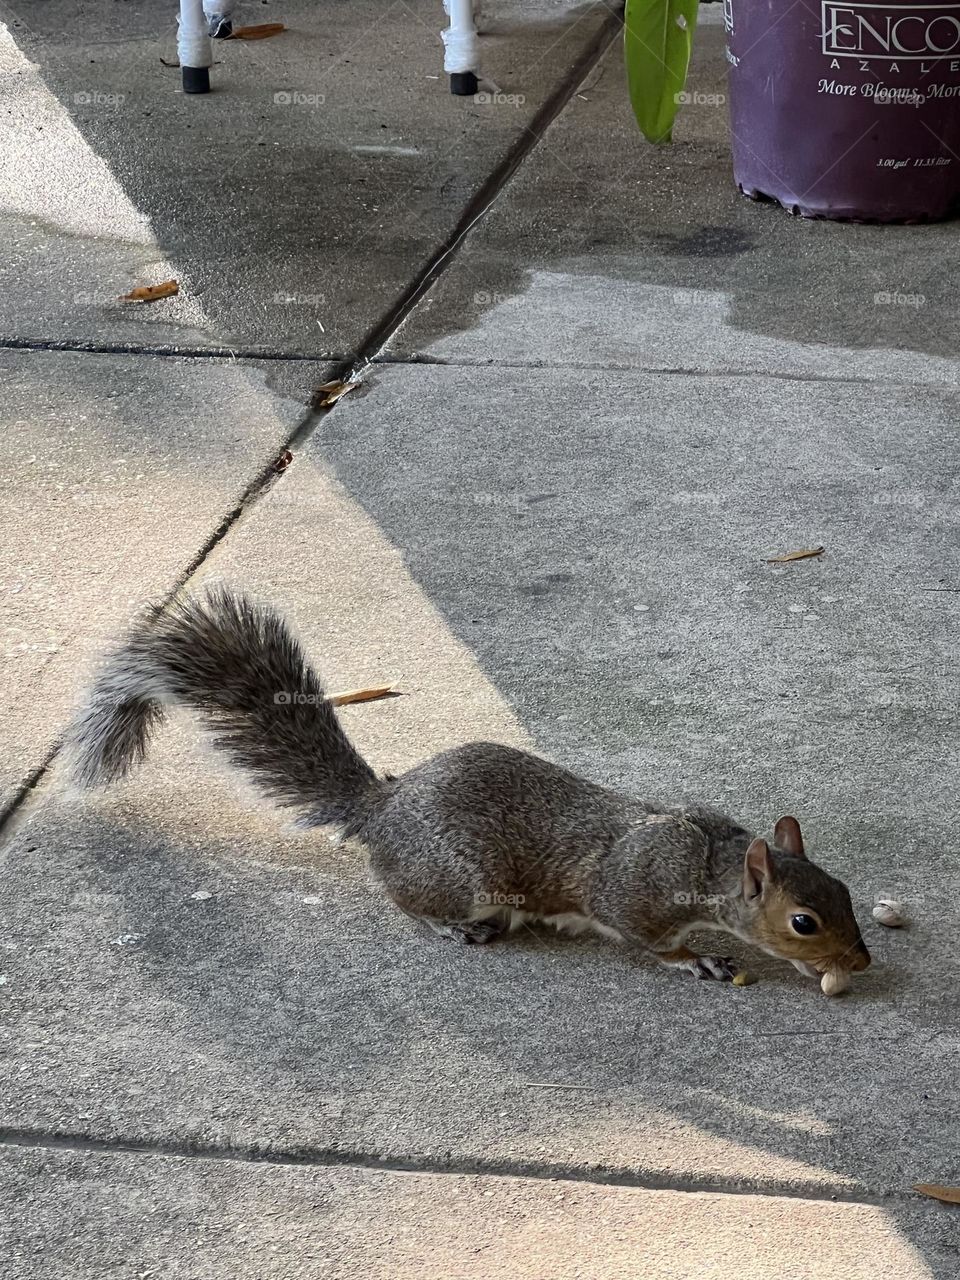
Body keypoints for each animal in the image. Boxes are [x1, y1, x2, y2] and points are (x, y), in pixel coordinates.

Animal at [66, 587, 871, 994]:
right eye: (804, 921)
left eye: (844, 891)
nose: (860, 963)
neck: (709, 860)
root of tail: (385, 809)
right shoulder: (632, 896)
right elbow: (642, 937)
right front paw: (695, 959)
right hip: (456, 877)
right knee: (409, 904)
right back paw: (452, 927)